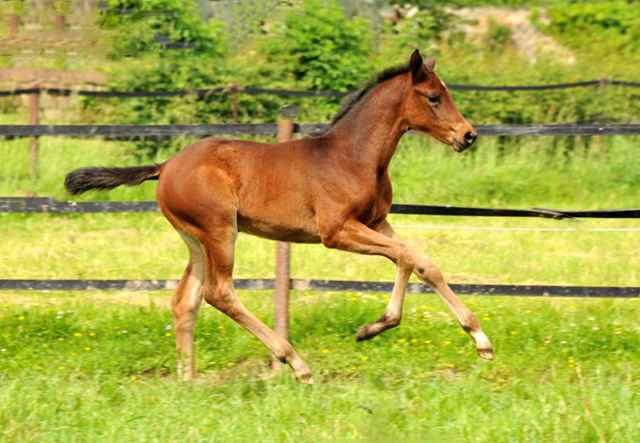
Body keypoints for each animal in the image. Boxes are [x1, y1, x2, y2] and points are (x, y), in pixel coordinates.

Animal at [65, 51, 492, 386]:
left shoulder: (376, 223)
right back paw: (295, 363)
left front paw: (477, 339)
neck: (353, 156)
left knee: (185, 300)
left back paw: (188, 381)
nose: (468, 135)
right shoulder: (337, 231)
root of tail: (165, 166)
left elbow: (421, 262)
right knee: (219, 293)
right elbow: (409, 257)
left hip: (195, 240)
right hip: (220, 231)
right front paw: (376, 327)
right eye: (434, 97)